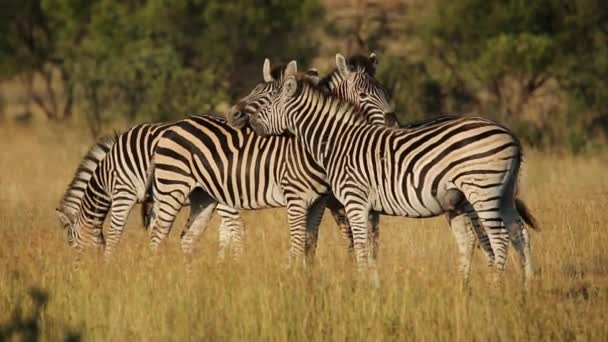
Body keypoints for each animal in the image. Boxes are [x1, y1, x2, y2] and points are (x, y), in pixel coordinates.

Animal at [242, 67, 536, 286]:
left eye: (267, 102)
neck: (337, 141)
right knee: (518, 232)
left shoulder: (354, 200)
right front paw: (372, 286)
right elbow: (370, 248)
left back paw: (495, 288)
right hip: (502, 192)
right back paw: (527, 286)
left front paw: (362, 288)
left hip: (482, 189)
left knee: (500, 238)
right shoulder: (369, 207)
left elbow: (361, 246)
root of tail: (511, 135)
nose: (247, 124)